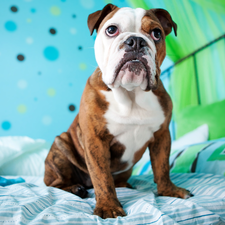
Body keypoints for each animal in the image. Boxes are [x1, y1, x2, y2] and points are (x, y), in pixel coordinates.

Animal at [44, 3, 193, 218]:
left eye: (157, 33)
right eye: (111, 29)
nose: (136, 41)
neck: (131, 93)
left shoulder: (162, 136)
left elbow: (162, 167)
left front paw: (169, 191)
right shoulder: (95, 140)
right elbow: (102, 177)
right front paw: (108, 207)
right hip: (61, 147)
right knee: (55, 183)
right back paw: (75, 189)